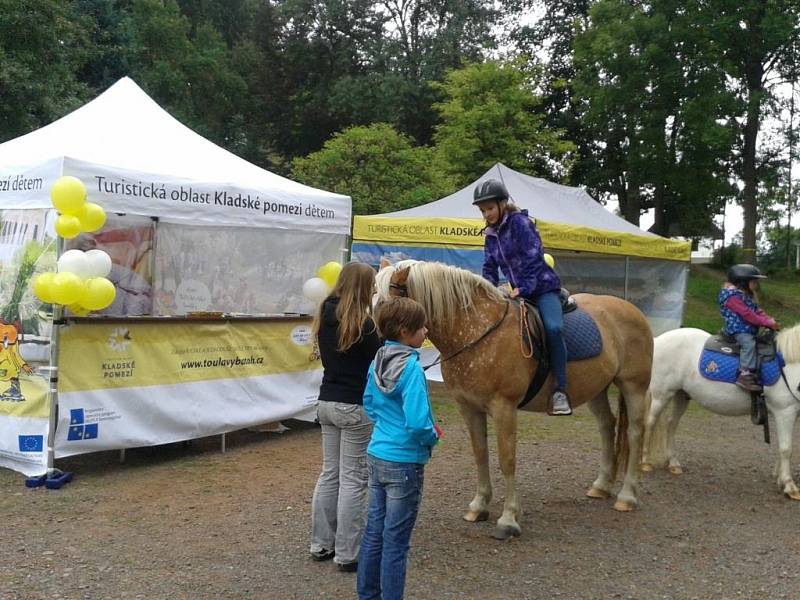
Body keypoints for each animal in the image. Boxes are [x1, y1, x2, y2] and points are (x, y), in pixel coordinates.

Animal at [378, 260, 652, 536]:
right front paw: (479, 506)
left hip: (634, 387)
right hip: (596, 389)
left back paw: (627, 496)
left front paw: (508, 519)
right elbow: (480, 454)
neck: (475, 332)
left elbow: (507, 459)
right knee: (607, 426)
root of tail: (633, 310)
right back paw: (602, 486)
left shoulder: (504, 408)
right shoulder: (468, 407)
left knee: (635, 434)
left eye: (388, 302)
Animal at [640, 326, 800, 500]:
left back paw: (673, 463)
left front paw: (780, 478)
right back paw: (645, 462)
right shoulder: (785, 411)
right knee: (650, 423)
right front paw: (790, 486)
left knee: (671, 424)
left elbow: (783, 447)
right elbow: (786, 449)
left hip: (681, 395)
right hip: (661, 395)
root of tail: (657, 340)